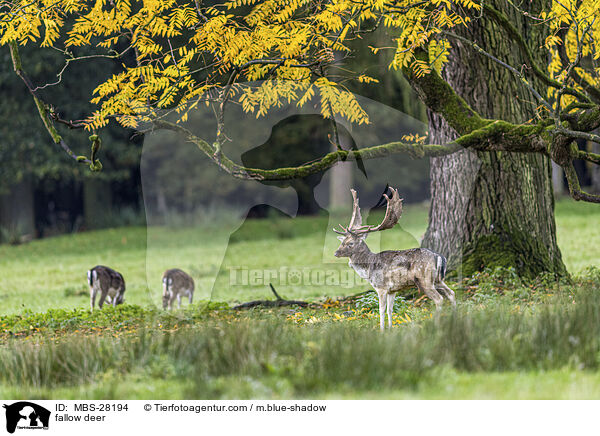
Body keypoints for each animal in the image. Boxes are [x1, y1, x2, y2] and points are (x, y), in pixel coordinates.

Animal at [332, 188, 454, 330]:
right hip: (438, 279)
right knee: (451, 293)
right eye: (342, 242)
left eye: (350, 243)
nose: (336, 253)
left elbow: (381, 310)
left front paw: (382, 330)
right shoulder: (393, 290)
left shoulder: (381, 287)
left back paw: (436, 324)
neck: (368, 269)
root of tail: (439, 256)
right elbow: (390, 310)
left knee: (439, 299)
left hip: (425, 279)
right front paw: (390, 328)